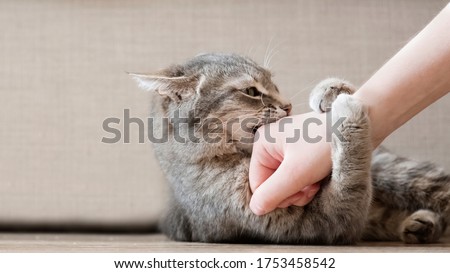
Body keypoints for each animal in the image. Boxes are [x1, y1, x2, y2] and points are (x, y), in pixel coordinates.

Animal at [130, 52, 450, 243]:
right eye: (251, 91)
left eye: (275, 84)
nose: (287, 106)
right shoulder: (322, 224)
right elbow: (351, 182)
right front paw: (348, 118)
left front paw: (330, 91)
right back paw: (419, 225)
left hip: (396, 173)